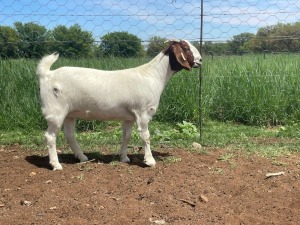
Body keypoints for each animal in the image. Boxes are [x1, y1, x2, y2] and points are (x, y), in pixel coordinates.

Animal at [37, 39, 202, 171]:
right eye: (185, 47)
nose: (200, 60)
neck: (152, 75)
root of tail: (47, 74)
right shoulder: (142, 113)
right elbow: (146, 136)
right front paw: (150, 161)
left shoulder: (129, 116)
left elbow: (126, 136)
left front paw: (124, 158)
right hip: (55, 111)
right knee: (50, 136)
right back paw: (56, 165)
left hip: (70, 113)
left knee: (69, 135)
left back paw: (82, 157)